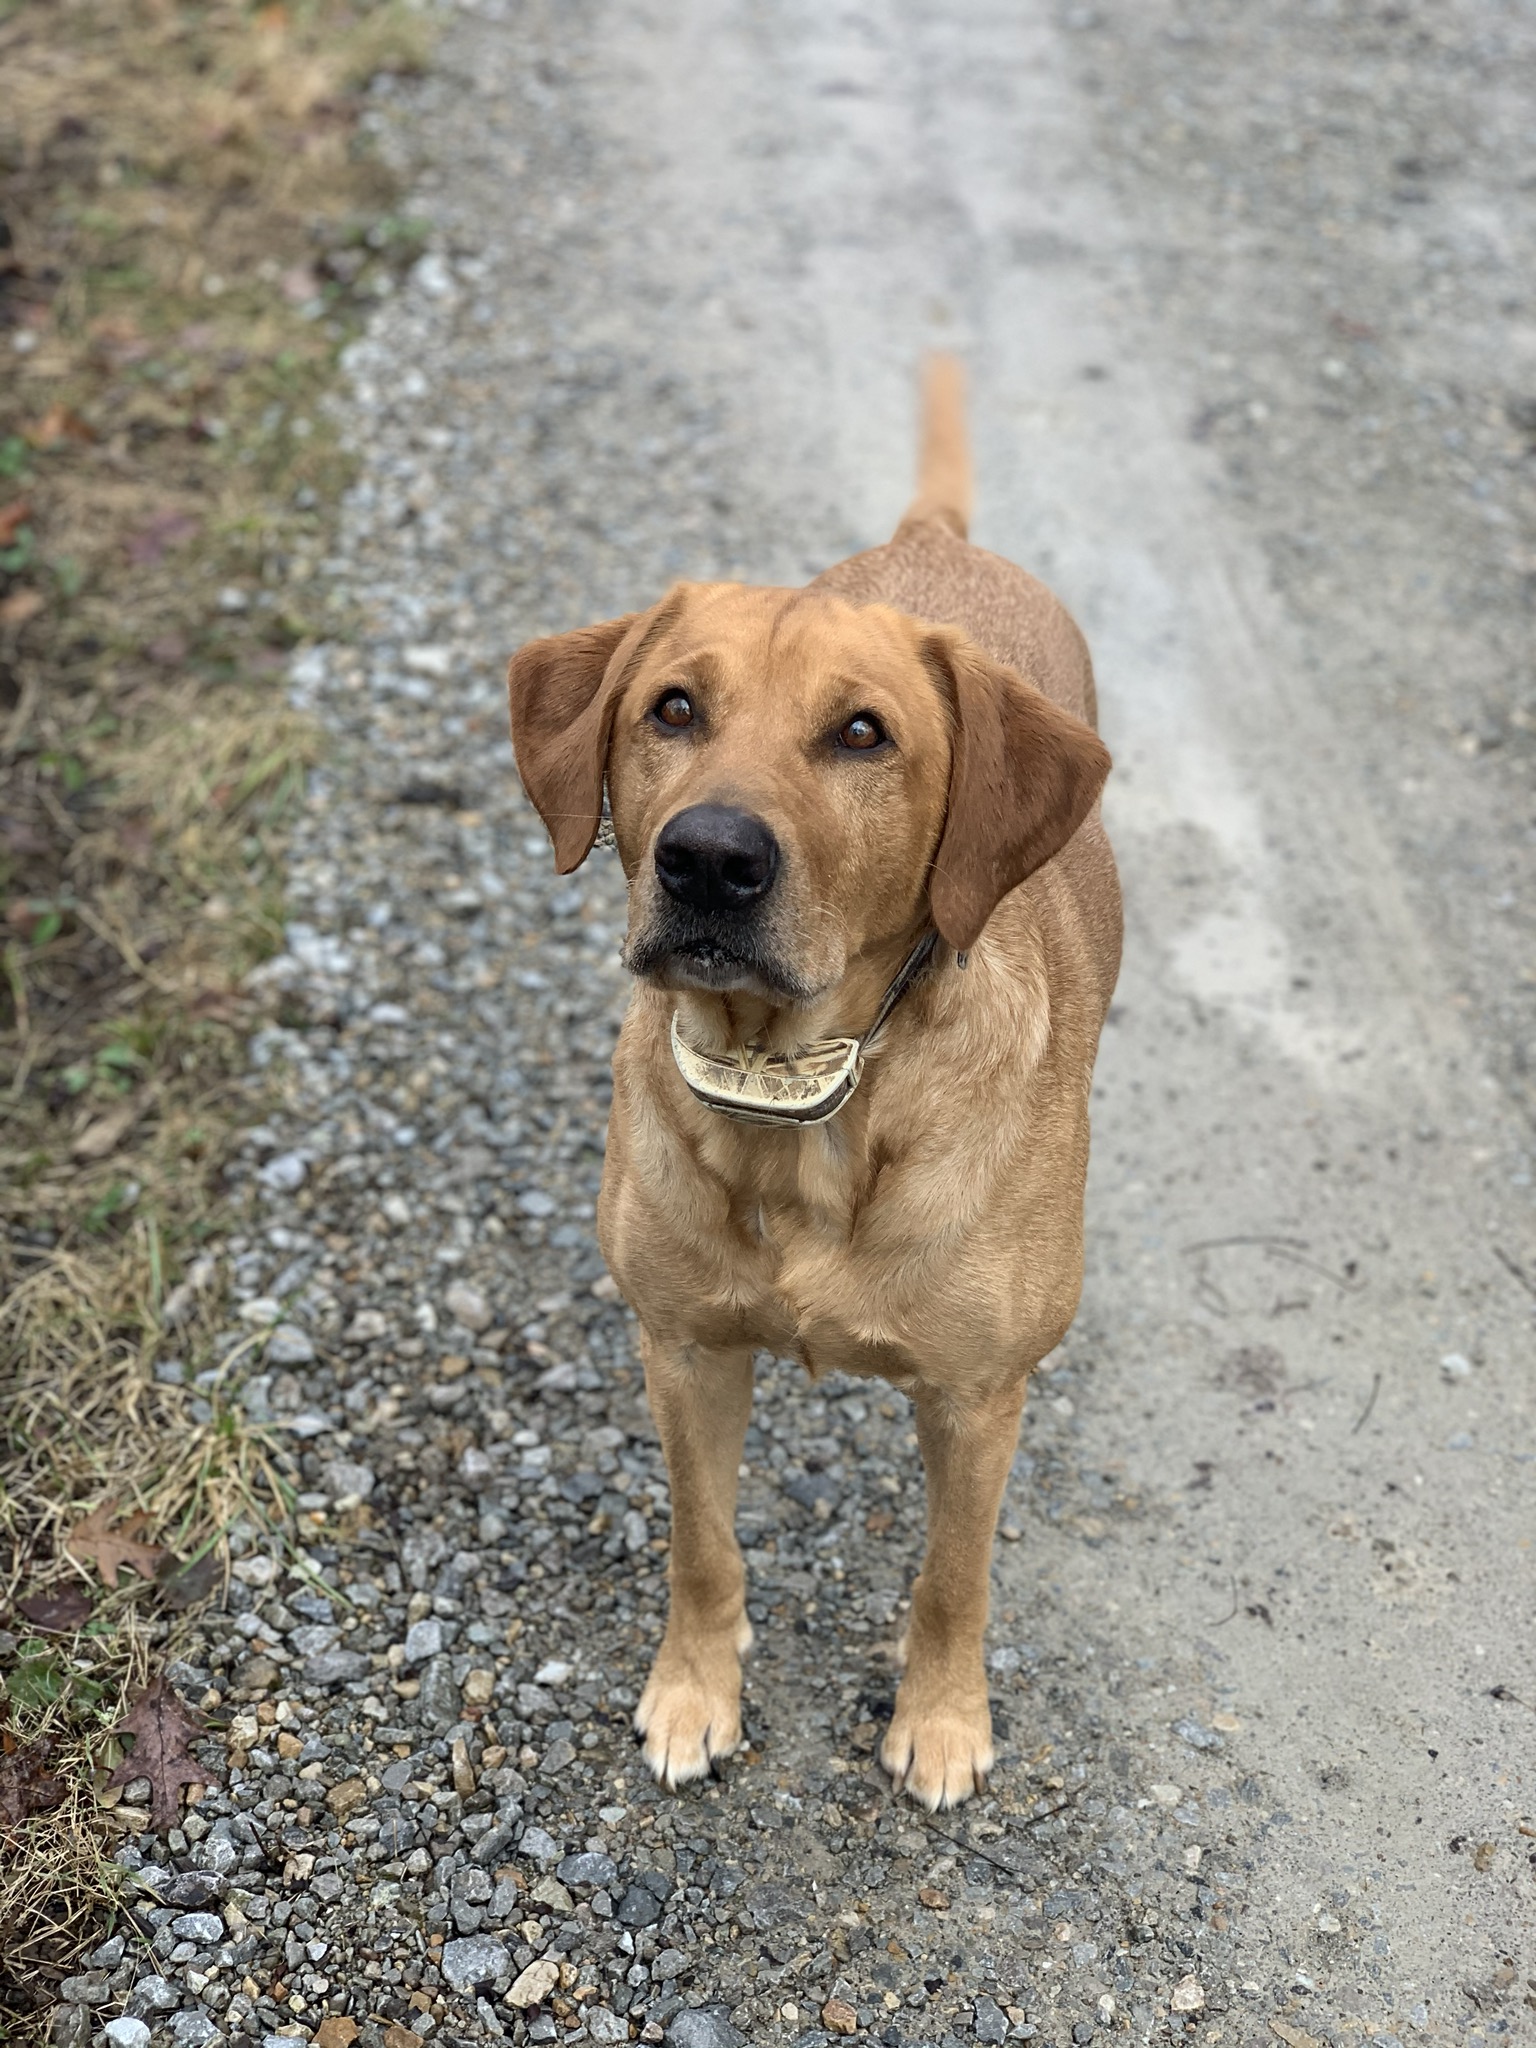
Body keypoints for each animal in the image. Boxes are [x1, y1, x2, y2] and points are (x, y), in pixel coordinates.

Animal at [512, 364, 1122, 1810]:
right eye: (673, 708)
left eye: (862, 733)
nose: (708, 859)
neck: (795, 1095)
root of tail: (935, 540)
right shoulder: (682, 1349)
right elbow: (703, 1543)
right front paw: (696, 1690)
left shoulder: (976, 1399)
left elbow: (954, 1577)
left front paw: (943, 1719)